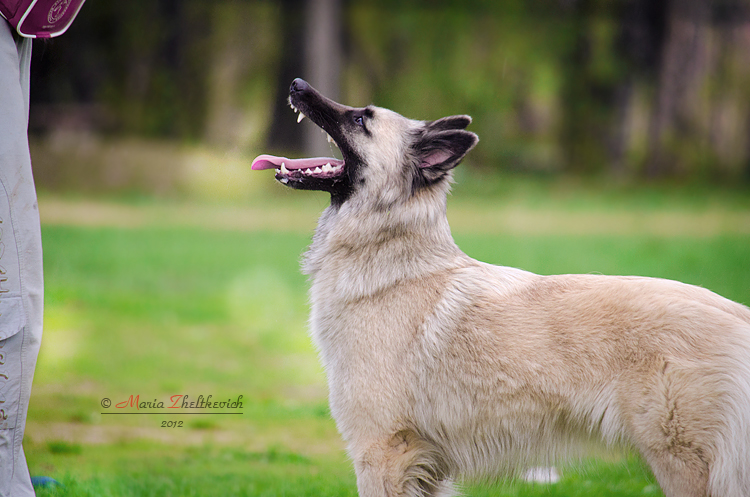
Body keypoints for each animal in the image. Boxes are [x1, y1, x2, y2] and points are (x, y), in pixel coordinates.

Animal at [254, 79, 750, 494]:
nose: (297, 83)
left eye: (361, 119)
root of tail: (737, 314)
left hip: (682, 465)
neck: (390, 256)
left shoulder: (383, 453)